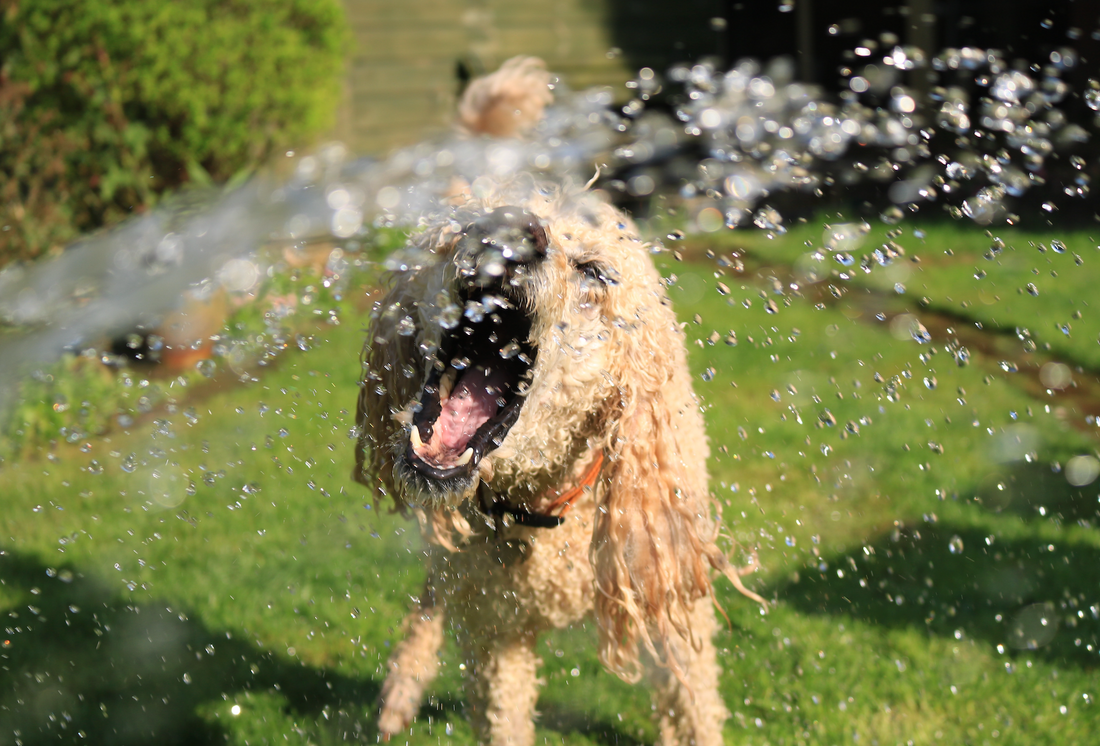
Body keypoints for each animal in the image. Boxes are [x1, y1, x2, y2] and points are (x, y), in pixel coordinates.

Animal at [354, 56, 765, 746]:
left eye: (595, 272)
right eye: (458, 230)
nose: (508, 229)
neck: (544, 504)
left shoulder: (669, 603)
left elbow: (694, 708)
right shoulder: (494, 639)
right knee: (434, 592)